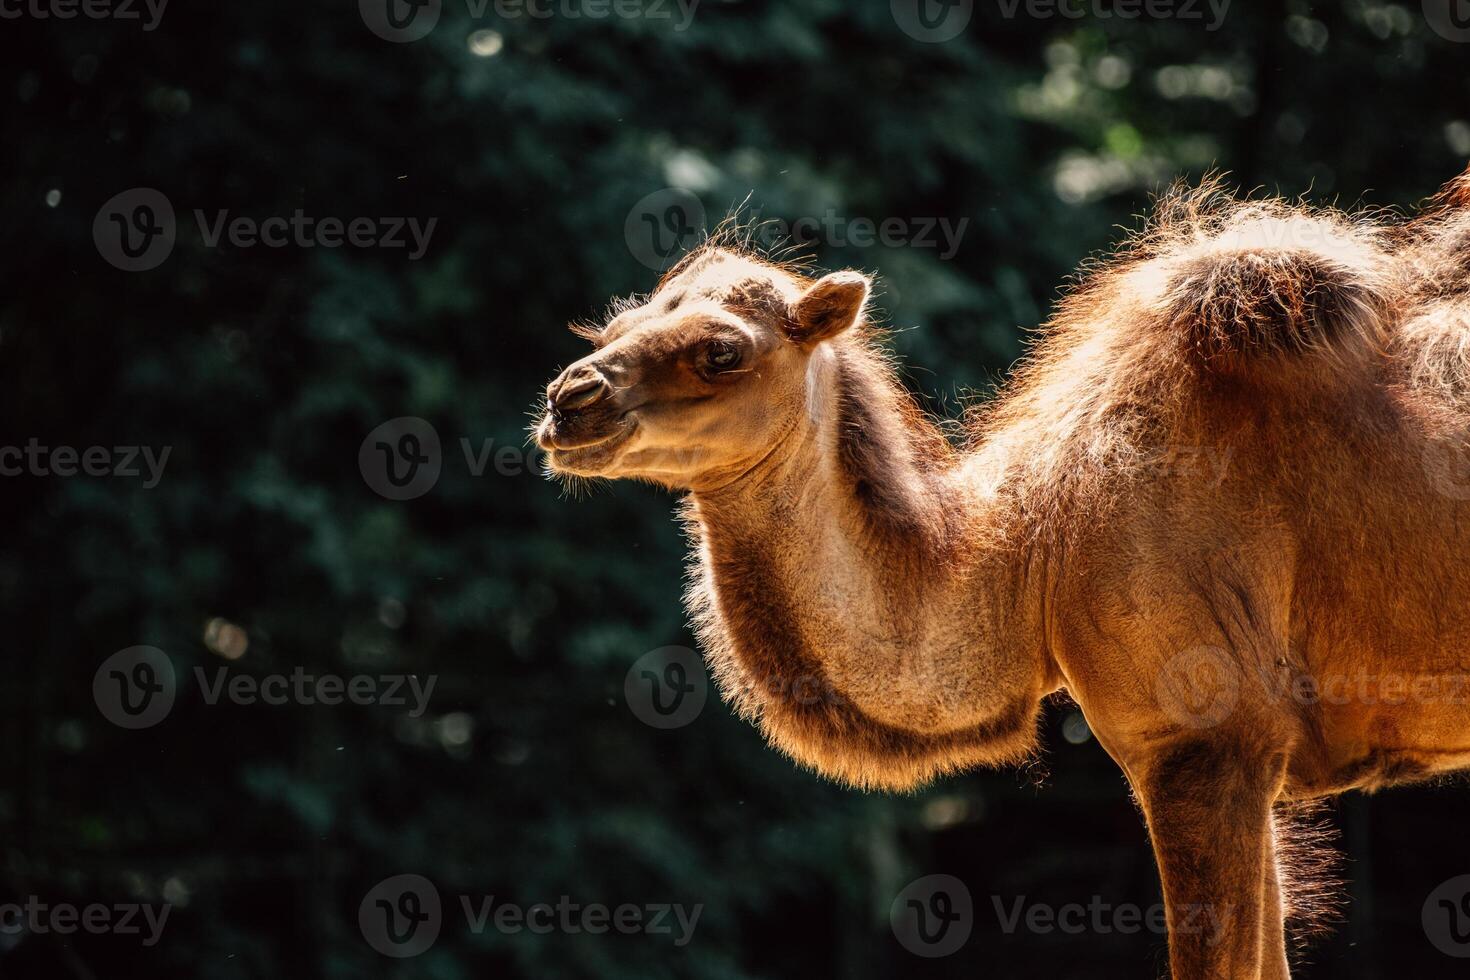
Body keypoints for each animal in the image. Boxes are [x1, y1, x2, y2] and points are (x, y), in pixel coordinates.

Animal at [535, 166, 1470, 975]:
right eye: (613, 328)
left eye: (722, 351)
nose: (567, 402)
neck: (1035, 559)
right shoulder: (1248, 754)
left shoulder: (1204, 740)